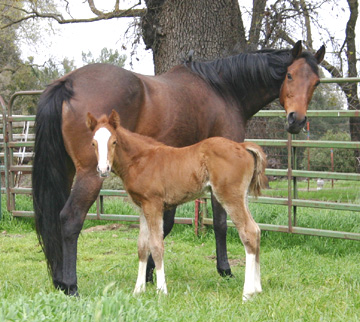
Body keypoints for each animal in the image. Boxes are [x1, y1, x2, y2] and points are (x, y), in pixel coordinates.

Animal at [86, 110, 268, 302]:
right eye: (93, 143)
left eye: (114, 141)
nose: (103, 169)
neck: (140, 160)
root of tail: (243, 146)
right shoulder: (142, 208)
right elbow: (142, 247)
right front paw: (138, 290)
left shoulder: (153, 205)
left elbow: (156, 246)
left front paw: (161, 291)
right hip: (242, 197)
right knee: (256, 230)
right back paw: (257, 288)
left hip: (230, 197)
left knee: (248, 232)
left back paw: (247, 292)